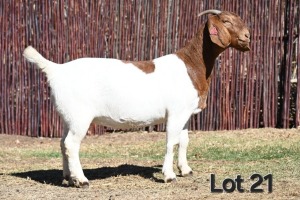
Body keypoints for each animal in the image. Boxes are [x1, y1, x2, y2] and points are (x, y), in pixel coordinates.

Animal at [22, 9, 251, 188]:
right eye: (226, 21)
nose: (248, 36)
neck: (192, 65)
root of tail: (56, 70)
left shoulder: (185, 114)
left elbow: (184, 141)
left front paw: (186, 170)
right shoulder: (175, 113)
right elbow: (171, 141)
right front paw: (169, 176)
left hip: (67, 115)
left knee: (62, 143)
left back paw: (68, 178)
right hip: (80, 115)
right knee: (71, 144)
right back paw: (82, 180)